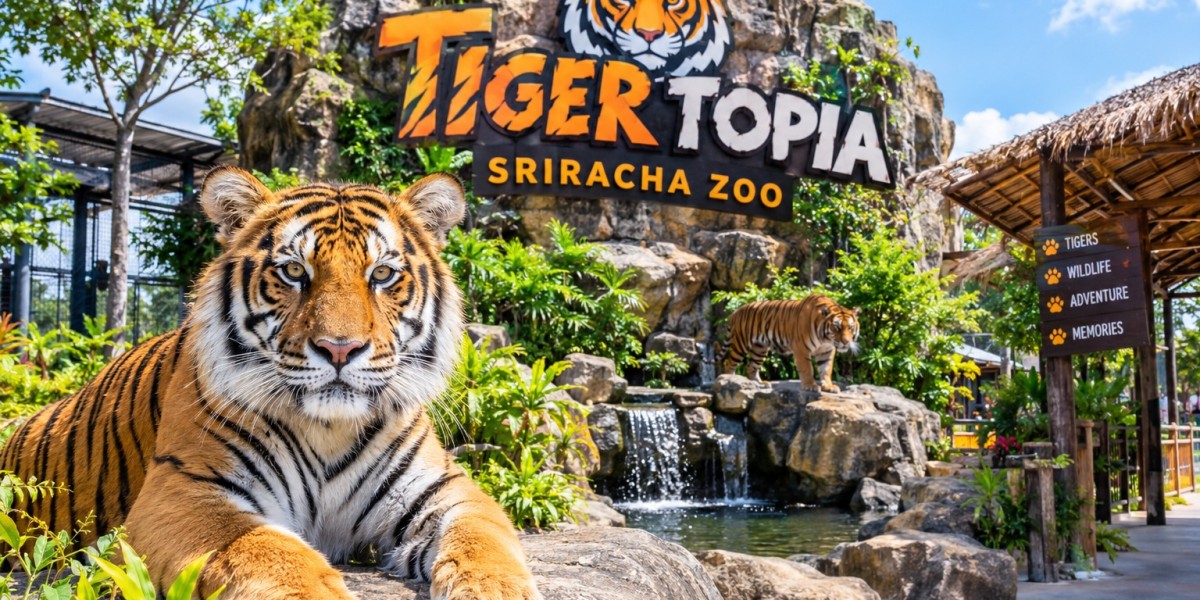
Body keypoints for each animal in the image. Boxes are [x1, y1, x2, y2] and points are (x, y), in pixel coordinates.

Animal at [0, 168, 540, 600]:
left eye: (383, 274)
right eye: (294, 271)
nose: (340, 348)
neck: (329, 429)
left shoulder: (445, 488)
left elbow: (484, 539)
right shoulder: (185, 490)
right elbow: (273, 555)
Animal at [719, 294, 860, 392]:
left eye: (850, 328)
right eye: (837, 327)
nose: (846, 342)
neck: (825, 339)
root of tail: (735, 311)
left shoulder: (827, 350)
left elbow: (826, 369)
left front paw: (829, 387)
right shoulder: (801, 348)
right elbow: (807, 368)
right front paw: (810, 386)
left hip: (760, 349)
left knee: (751, 367)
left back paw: (760, 384)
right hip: (741, 344)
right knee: (729, 363)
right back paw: (728, 381)